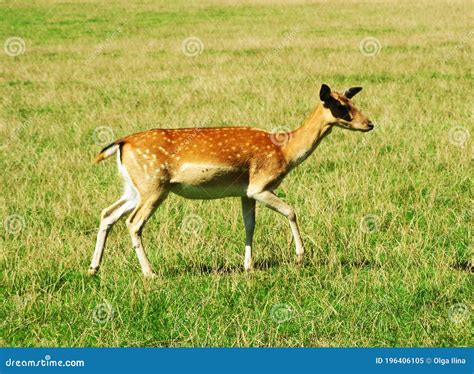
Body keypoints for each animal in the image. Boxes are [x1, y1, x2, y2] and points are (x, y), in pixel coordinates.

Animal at [89, 84, 374, 278]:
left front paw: (248, 266)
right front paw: (299, 257)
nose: (369, 123)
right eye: (341, 106)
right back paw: (150, 273)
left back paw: (93, 268)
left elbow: (249, 225)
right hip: (154, 187)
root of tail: (121, 143)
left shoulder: (245, 192)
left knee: (108, 213)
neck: (285, 152)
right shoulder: (260, 185)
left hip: (134, 188)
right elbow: (291, 211)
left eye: (351, 101)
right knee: (133, 222)